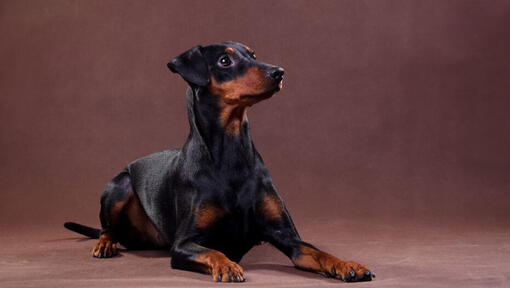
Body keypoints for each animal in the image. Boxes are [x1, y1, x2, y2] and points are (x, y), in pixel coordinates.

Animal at [63, 41, 374, 282]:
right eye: (225, 60)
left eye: (252, 53)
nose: (279, 72)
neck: (231, 153)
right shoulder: (184, 244)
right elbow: (214, 251)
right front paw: (227, 266)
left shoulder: (286, 236)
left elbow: (317, 252)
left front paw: (348, 264)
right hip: (120, 184)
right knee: (107, 228)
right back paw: (105, 245)